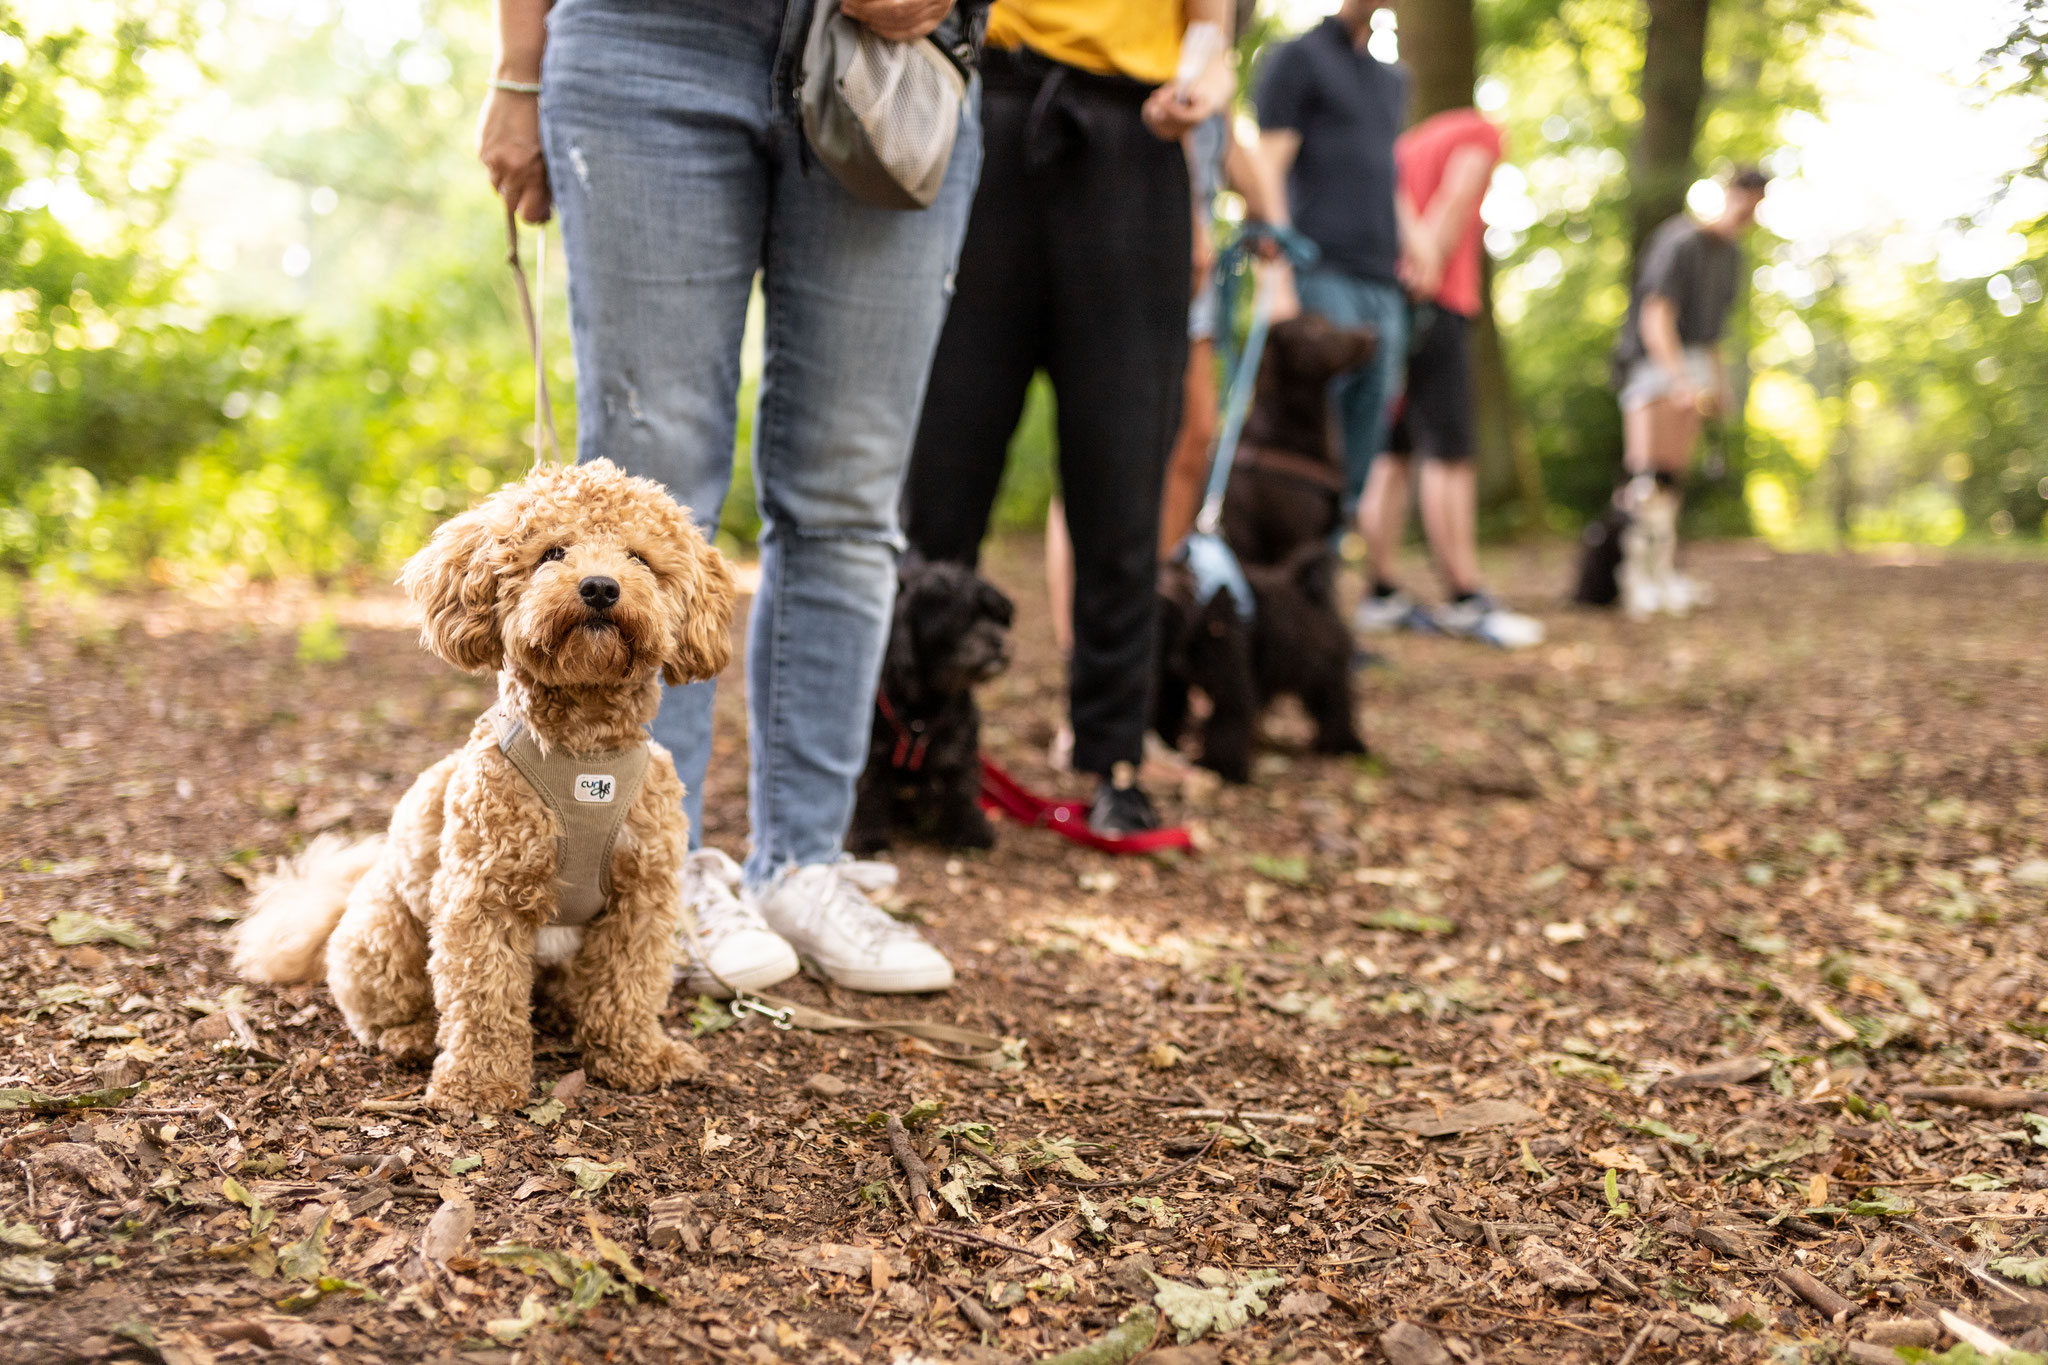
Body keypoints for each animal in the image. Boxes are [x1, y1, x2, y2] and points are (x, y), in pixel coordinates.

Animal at [232, 462, 737, 1121]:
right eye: (552, 552)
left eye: (640, 558)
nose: (601, 587)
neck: (583, 754)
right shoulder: (481, 895)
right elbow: (483, 998)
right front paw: (479, 1084)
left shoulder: (642, 897)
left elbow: (629, 985)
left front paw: (636, 1057)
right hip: (382, 933)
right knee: (382, 1008)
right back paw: (411, 1036)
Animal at [843, 556, 1011, 855]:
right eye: (961, 620)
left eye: (994, 616)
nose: (999, 641)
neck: (925, 707)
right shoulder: (873, 753)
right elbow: (869, 792)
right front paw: (870, 837)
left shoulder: (958, 748)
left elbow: (962, 788)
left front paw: (971, 831)